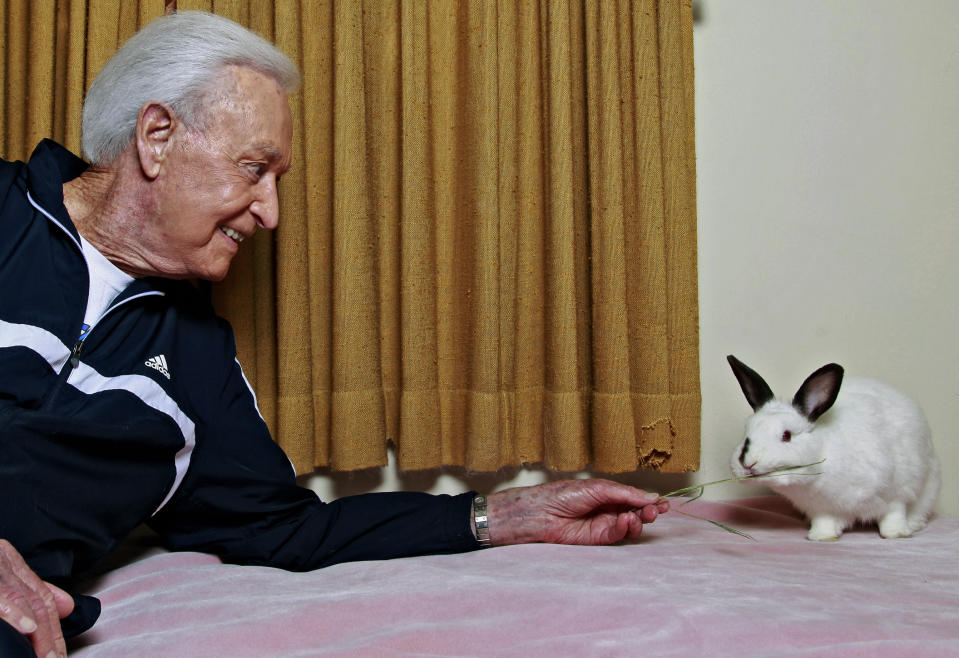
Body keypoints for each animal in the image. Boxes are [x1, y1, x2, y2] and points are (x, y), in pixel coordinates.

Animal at [728, 354, 936, 540]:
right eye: (746, 433)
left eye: (787, 435)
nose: (748, 463)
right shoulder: (822, 507)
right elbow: (824, 521)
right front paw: (821, 537)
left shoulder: (897, 492)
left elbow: (893, 513)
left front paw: (896, 534)